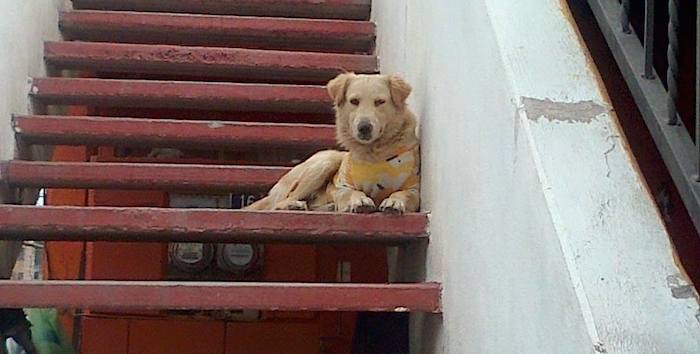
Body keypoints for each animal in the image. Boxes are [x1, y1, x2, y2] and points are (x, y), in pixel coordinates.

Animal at [247, 73, 418, 214]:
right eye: (354, 101)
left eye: (380, 102)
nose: (364, 127)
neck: (374, 154)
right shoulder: (342, 187)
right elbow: (353, 192)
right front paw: (360, 200)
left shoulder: (413, 189)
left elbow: (402, 193)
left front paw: (394, 202)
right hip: (326, 161)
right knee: (281, 202)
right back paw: (293, 205)